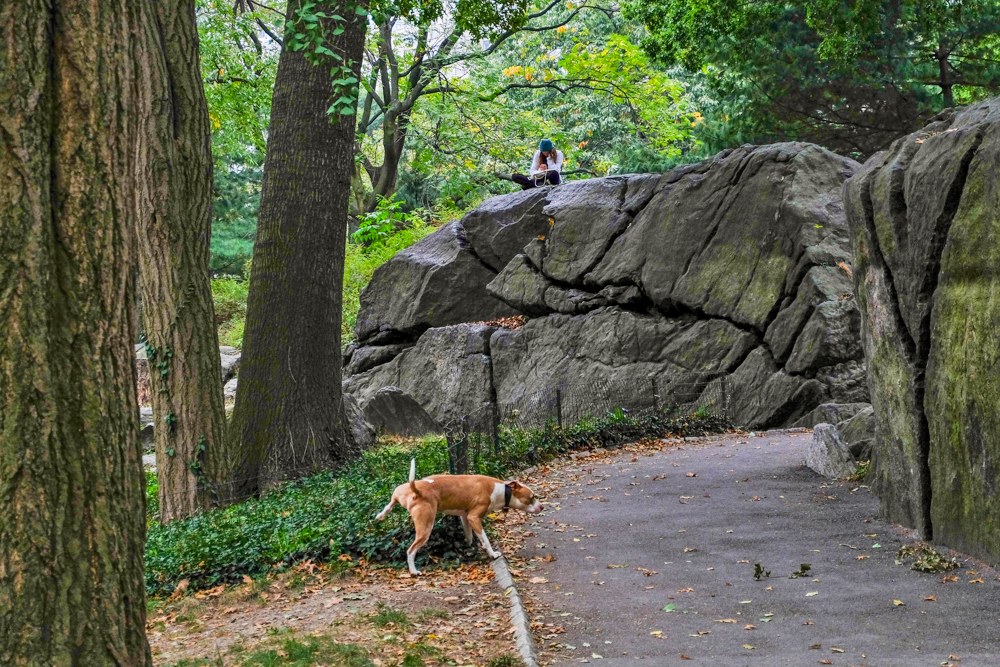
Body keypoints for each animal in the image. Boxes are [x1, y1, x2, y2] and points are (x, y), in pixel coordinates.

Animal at [376, 460, 548, 576]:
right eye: (532, 497)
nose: (542, 507)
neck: (502, 490)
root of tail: (416, 489)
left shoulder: (465, 517)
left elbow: (470, 537)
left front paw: (471, 550)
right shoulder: (474, 517)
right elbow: (485, 539)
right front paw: (492, 554)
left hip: (399, 492)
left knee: (391, 501)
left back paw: (381, 515)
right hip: (425, 528)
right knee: (411, 551)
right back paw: (413, 571)